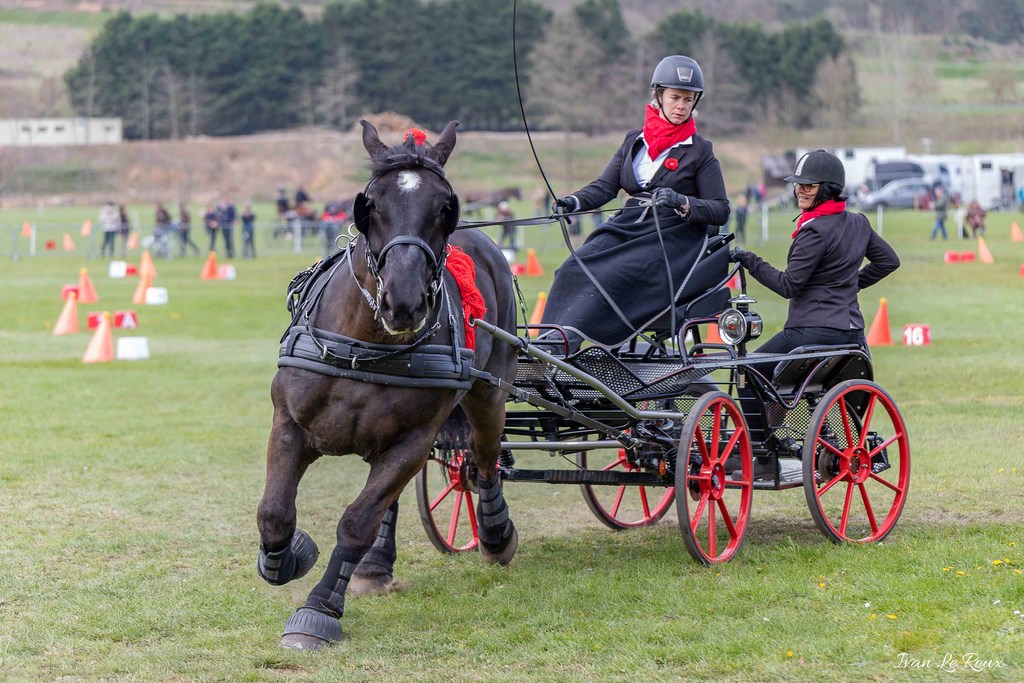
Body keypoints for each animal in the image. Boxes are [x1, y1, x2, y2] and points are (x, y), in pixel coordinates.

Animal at [258, 120, 520, 651]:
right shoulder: (289, 424)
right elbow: (275, 513)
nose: (404, 300)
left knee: (483, 461)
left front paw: (318, 611)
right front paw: (292, 555)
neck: (366, 345)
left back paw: (496, 534)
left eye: (444, 207)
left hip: (489, 394)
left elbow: (357, 521)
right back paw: (375, 567)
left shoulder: (412, 443)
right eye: (371, 205)